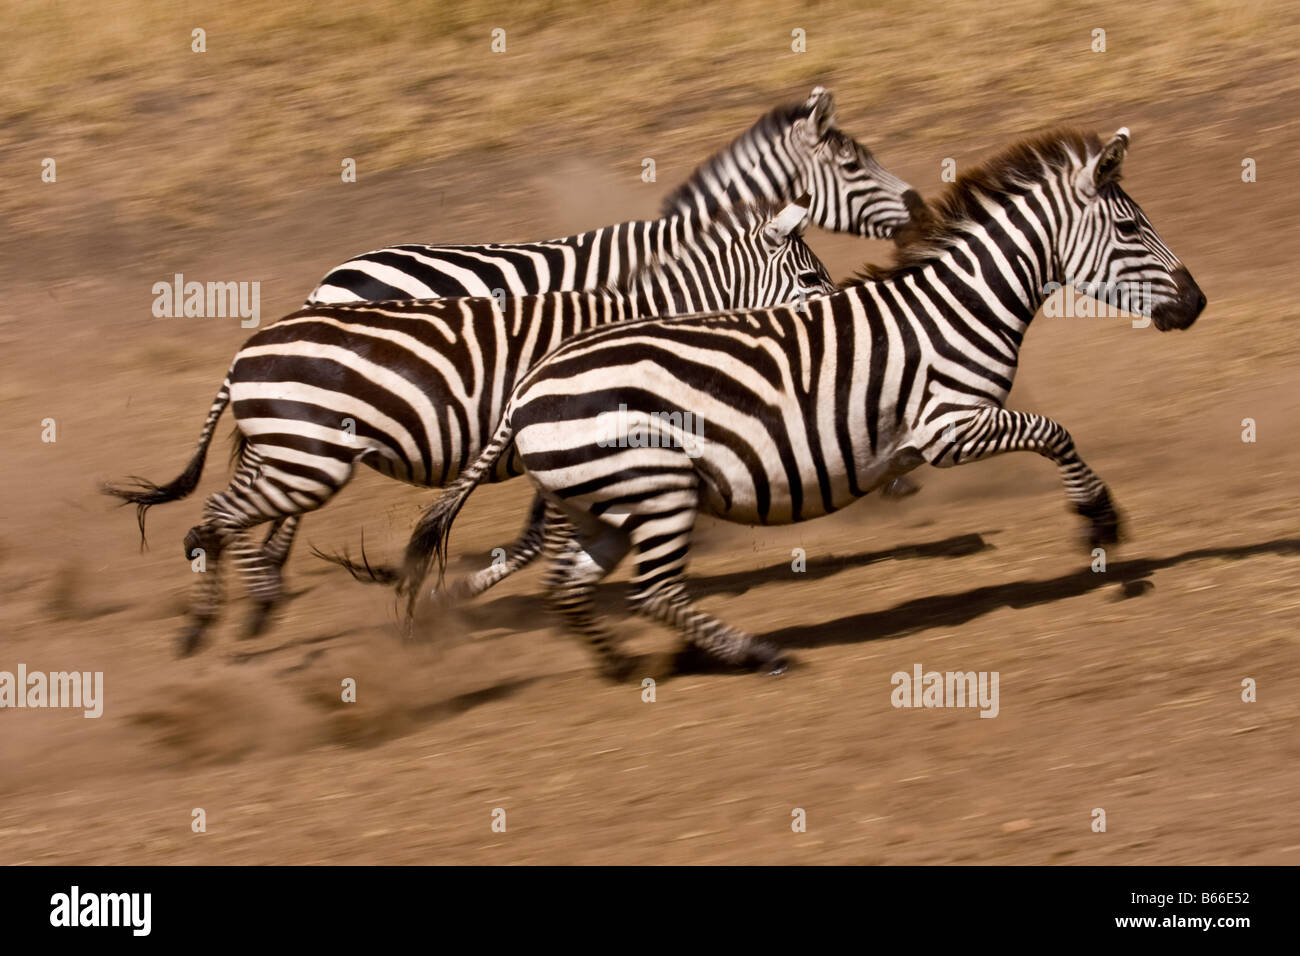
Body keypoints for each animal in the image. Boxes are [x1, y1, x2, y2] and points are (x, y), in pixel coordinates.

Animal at [104, 198, 838, 654]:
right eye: (809, 278)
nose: (834, 325)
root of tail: (245, 353)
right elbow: (539, 543)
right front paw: (449, 597)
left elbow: (531, 544)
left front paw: (443, 597)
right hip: (308, 452)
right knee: (237, 512)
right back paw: (229, 609)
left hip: (289, 446)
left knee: (236, 510)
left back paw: (243, 602)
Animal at [396, 127, 1206, 679]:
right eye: (1130, 228)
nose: (1197, 304)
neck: (956, 307)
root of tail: (530, 385)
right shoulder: (951, 426)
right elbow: (1055, 431)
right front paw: (1100, 526)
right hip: (655, 491)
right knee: (653, 590)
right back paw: (755, 653)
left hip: (603, 505)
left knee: (570, 588)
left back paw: (623, 665)